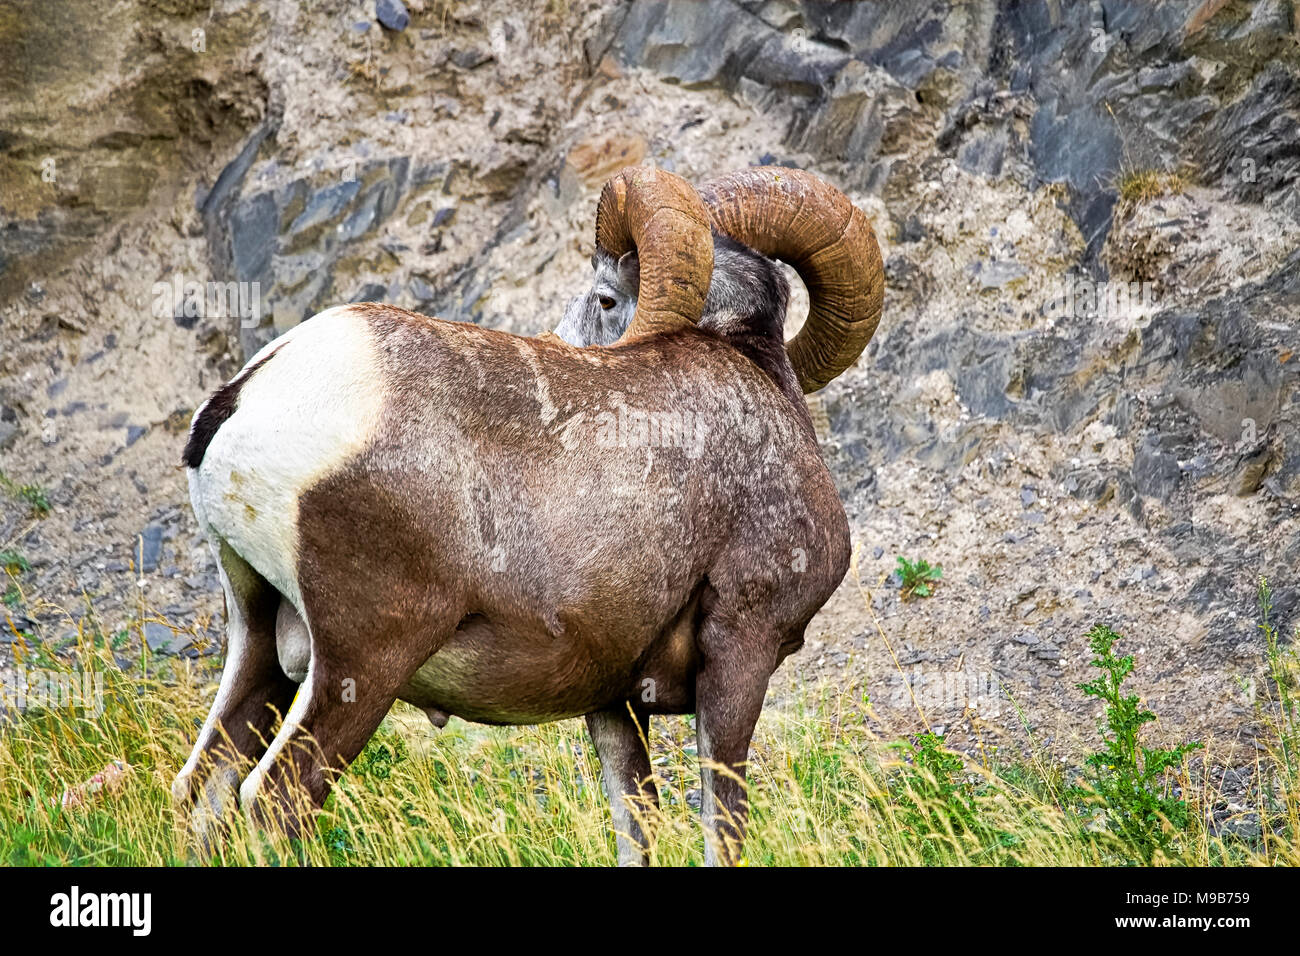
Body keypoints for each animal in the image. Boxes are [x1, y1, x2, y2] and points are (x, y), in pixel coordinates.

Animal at [172, 165, 883, 866]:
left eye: (603, 299)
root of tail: (248, 393)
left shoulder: (613, 697)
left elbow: (636, 826)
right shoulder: (741, 649)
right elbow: (722, 828)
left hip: (258, 641)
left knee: (202, 789)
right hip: (365, 658)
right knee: (276, 800)